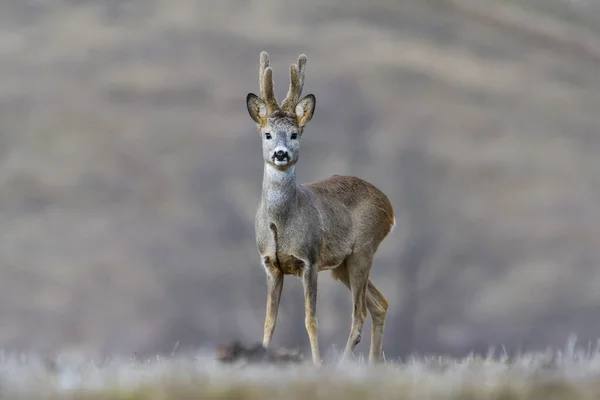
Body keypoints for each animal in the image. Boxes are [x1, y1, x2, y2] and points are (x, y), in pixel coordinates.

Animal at [244, 51, 394, 364]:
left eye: (295, 134)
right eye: (267, 134)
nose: (280, 154)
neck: (281, 223)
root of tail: (389, 206)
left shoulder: (309, 260)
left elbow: (311, 319)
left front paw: (316, 362)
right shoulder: (270, 264)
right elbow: (269, 320)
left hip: (364, 250)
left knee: (360, 313)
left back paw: (344, 362)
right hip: (344, 265)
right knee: (380, 303)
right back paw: (373, 364)